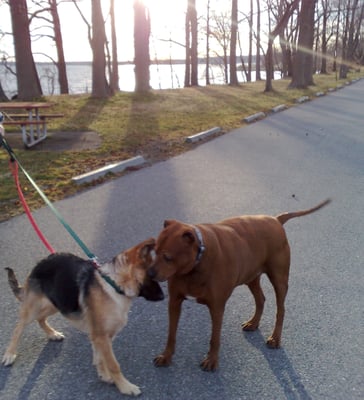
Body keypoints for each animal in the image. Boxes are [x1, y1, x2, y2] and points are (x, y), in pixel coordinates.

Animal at [1, 239, 164, 396]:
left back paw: (52, 334)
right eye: (151, 275)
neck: (114, 285)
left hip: (57, 303)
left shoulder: (102, 336)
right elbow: (113, 364)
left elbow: (99, 357)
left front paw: (104, 375)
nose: (163, 297)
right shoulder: (101, 336)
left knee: (41, 319)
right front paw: (125, 387)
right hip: (33, 309)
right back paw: (10, 354)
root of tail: (41, 263)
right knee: (18, 328)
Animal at [147, 200, 330, 372]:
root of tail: (276, 219)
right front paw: (166, 356)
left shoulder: (217, 307)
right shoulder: (174, 302)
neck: (197, 263)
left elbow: (215, 338)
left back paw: (275, 338)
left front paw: (212, 361)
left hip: (279, 279)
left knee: (281, 309)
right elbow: (171, 334)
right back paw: (253, 323)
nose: (148, 274)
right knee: (261, 299)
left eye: (168, 257)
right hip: (251, 277)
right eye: (154, 251)